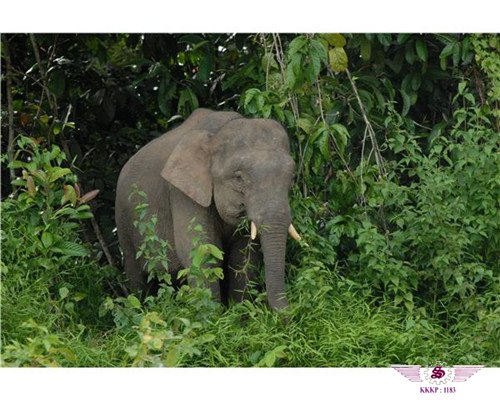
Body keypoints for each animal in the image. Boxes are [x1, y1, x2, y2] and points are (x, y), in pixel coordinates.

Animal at [114, 108, 298, 310]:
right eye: (238, 178)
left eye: (291, 177)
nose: (289, 312)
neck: (217, 134)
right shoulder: (181, 193)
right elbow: (200, 250)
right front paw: (213, 315)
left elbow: (243, 255)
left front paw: (239, 313)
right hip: (124, 221)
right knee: (136, 276)